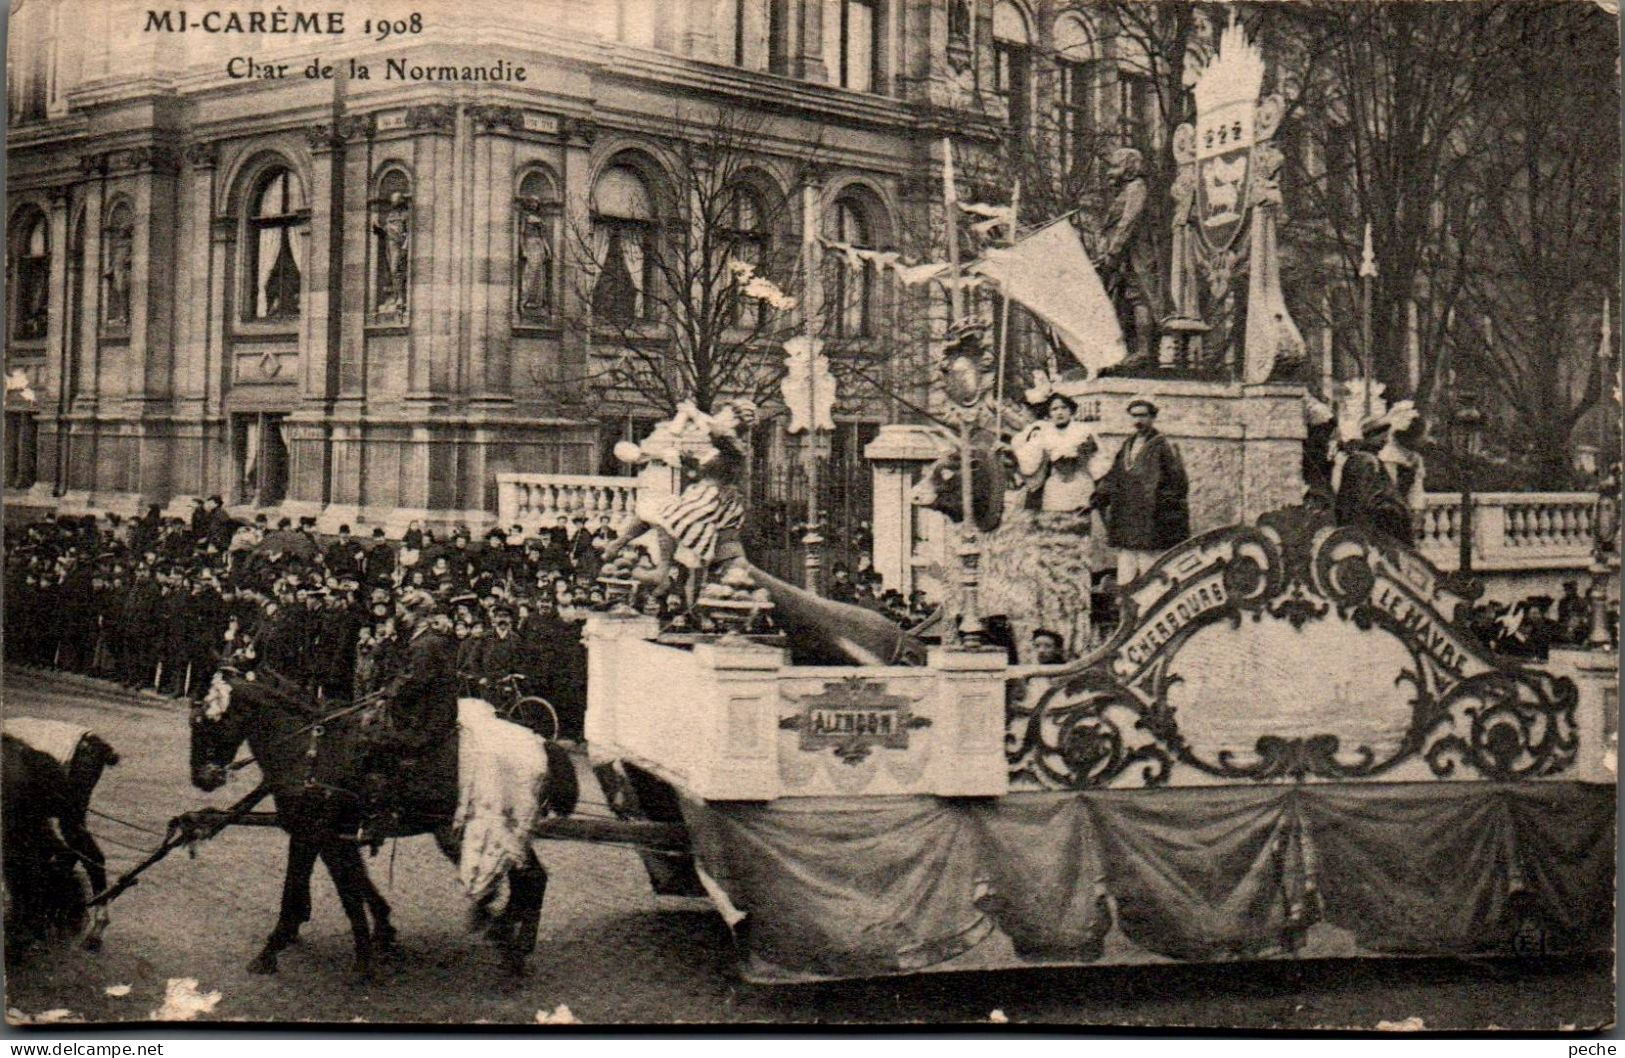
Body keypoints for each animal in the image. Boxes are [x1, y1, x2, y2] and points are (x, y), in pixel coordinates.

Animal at [189, 676, 578, 981]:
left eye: (206, 724)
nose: (200, 779)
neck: (311, 752)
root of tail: (543, 743)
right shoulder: (324, 835)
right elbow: (348, 884)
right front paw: (377, 936)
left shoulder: (314, 833)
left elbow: (323, 892)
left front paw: (280, 948)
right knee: (530, 878)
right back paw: (508, 936)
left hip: (479, 831)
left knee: (530, 878)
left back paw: (513, 945)